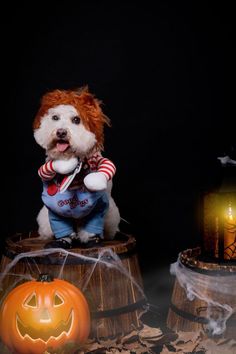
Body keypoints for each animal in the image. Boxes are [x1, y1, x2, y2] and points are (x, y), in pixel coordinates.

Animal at [33, 88, 120, 249]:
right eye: (55, 117)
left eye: (76, 120)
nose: (61, 132)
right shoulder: (54, 210)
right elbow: (61, 226)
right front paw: (63, 241)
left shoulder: (100, 206)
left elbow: (93, 225)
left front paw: (92, 239)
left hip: (111, 216)